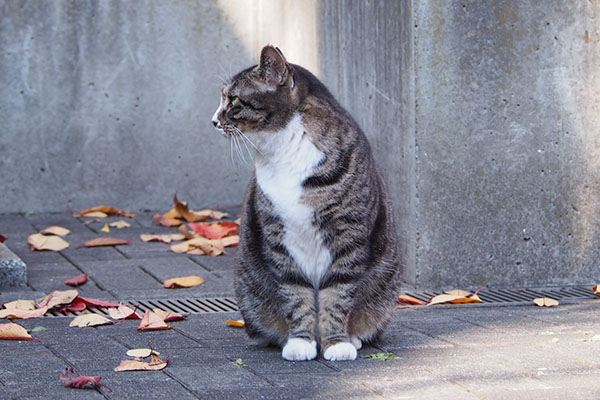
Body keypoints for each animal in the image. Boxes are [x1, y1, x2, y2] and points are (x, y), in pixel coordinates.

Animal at [212, 45, 404, 360]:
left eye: (233, 100)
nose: (213, 121)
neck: (285, 150)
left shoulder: (348, 236)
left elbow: (338, 293)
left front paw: (337, 344)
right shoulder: (278, 238)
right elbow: (294, 292)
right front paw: (300, 343)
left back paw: (352, 338)